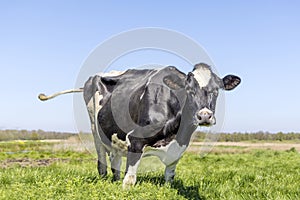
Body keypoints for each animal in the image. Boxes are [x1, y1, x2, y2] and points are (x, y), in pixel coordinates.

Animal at [38, 63, 240, 189]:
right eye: (189, 90)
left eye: (217, 90)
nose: (204, 116)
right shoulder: (135, 140)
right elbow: (130, 180)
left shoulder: (179, 147)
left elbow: (169, 176)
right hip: (95, 129)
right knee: (102, 158)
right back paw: (104, 178)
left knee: (115, 160)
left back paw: (114, 179)